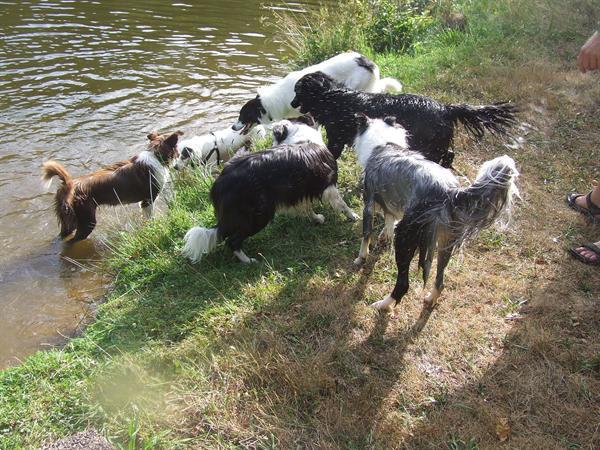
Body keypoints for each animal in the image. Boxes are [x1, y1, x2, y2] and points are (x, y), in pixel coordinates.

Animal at [41, 130, 180, 243]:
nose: (179, 157)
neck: (156, 155)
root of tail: (69, 183)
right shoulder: (149, 199)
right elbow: (150, 217)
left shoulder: (144, 201)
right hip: (86, 220)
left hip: (69, 219)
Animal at [180, 115, 358, 264]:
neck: (300, 137)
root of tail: (221, 182)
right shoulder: (329, 185)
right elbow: (342, 204)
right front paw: (353, 216)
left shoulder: (299, 189)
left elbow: (306, 207)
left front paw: (316, 218)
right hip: (258, 215)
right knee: (232, 241)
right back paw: (248, 261)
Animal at [290, 72, 516, 167]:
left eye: (298, 91)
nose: (292, 103)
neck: (332, 96)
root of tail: (445, 108)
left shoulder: (336, 138)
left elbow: (331, 153)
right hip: (437, 142)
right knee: (450, 154)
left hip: (427, 143)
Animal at [354, 116, 516, 312]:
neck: (383, 143)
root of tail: (450, 192)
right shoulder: (392, 203)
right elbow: (389, 220)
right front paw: (384, 236)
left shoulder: (368, 202)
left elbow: (366, 235)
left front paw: (360, 258)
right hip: (445, 242)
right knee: (440, 280)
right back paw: (430, 300)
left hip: (406, 238)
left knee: (403, 284)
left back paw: (383, 304)